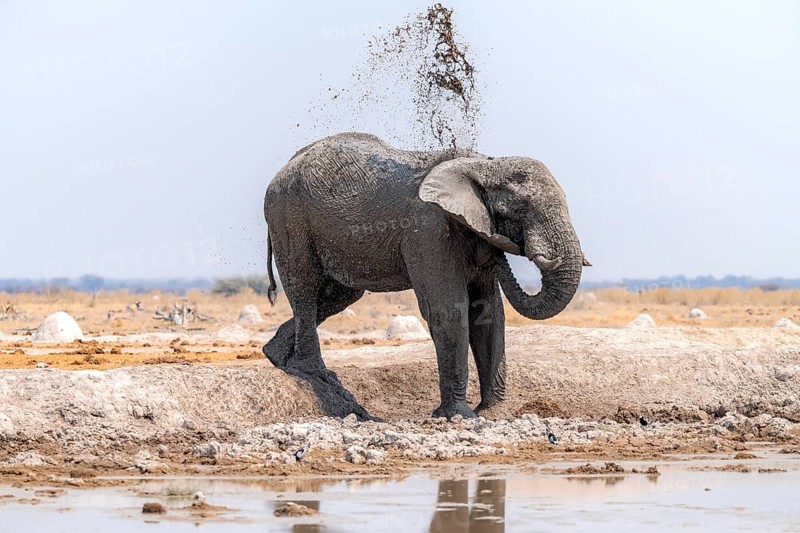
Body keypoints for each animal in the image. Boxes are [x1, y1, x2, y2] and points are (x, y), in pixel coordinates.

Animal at [262, 132, 589, 420]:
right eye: (520, 210)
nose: (501, 248)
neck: (484, 164)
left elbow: (488, 312)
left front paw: (494, 413)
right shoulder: (429, 229)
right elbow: (449, 309)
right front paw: (459, 416)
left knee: (338, 296)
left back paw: (277, 357)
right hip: (288, 217)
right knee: (305, 287)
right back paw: (313, 372)